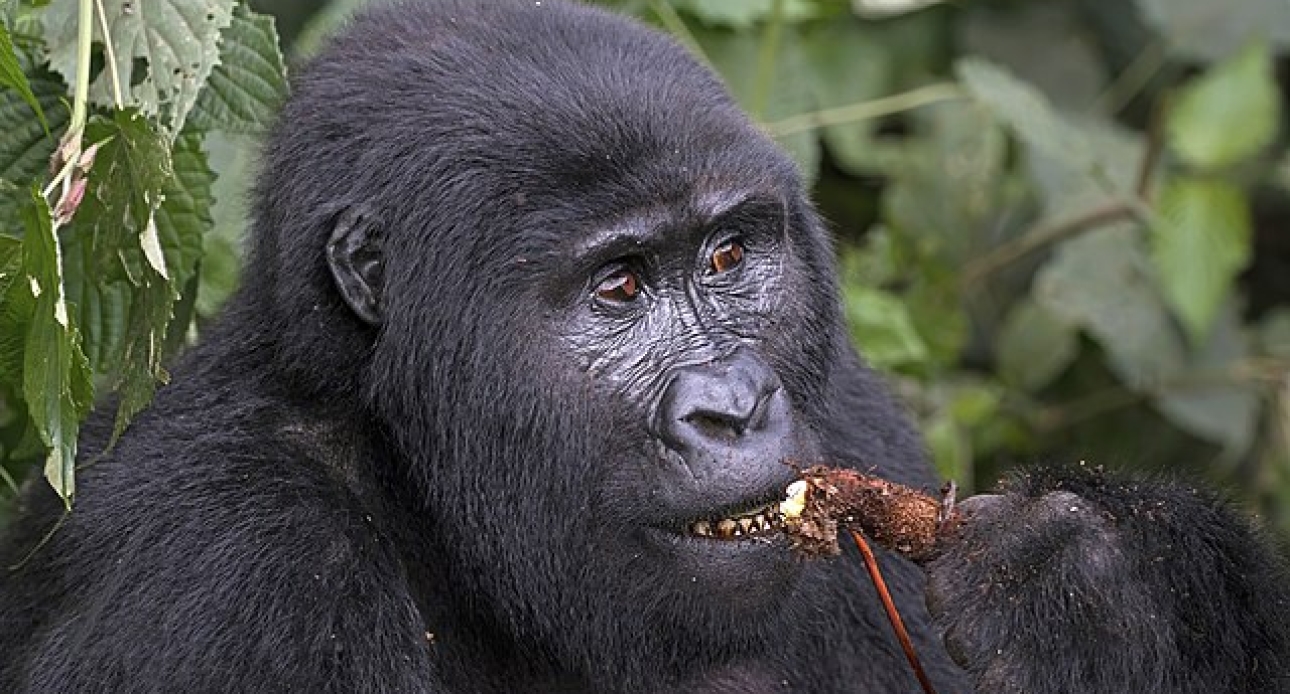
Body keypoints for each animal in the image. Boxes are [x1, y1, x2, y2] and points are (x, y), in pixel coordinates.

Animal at [0, 1, 1284, 691]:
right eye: (618, 287)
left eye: (725, 257)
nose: (734, 406)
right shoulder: (238, 560)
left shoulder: (853, 410)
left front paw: (1105, 589)